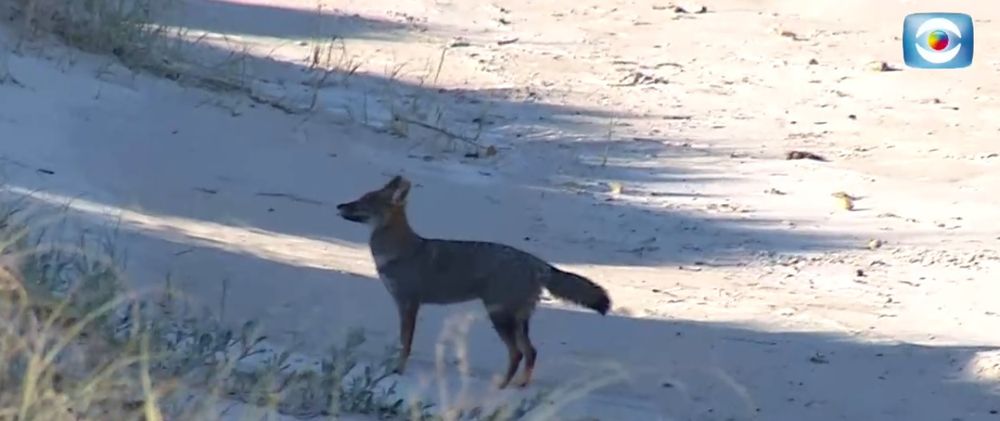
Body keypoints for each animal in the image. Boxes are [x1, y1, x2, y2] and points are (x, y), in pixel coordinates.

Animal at [336, 175, 611, 389]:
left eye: (364, 201)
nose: (339, 205)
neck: (400, 251)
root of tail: (538, 263)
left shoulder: (409, 304)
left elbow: (406, 344)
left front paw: (398, 371)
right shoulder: (406, 304)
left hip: (499, 318)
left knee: (517, 353)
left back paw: (501, 386)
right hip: (516, 321)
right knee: (531, 352)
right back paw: (518, 387)